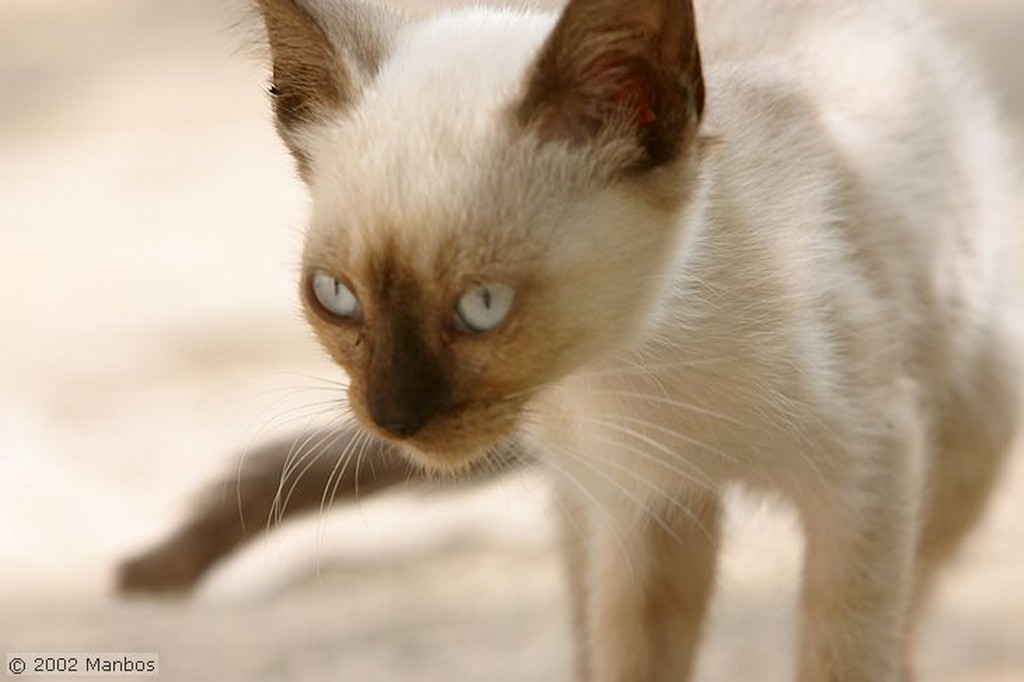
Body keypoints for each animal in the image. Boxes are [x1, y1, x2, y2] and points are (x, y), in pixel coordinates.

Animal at [117, 1, 1015, 679]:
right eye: (337, 298)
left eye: (482, 306)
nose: (394, 419)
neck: (632, 366)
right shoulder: (643, 505)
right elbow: (632, 657)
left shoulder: (867, 471)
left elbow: (844, 651)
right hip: (591, 508)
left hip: (965, 438)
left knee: (914, 606)